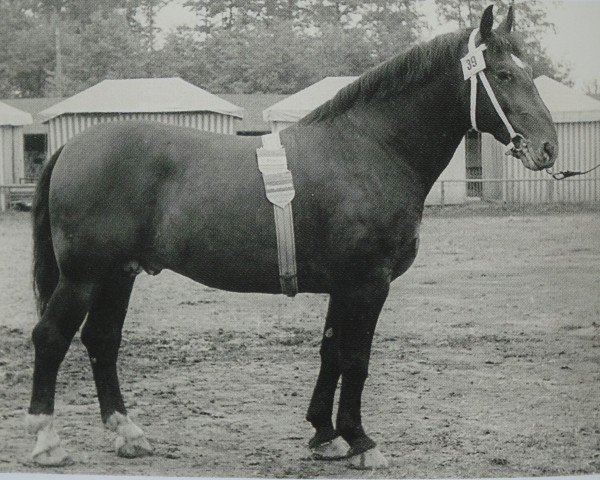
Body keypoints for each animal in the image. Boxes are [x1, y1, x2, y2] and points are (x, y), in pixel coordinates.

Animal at [24, 3, 556, 468]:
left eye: (528, 70)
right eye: (503, 74)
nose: (548, 148)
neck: (370, 148)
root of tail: (71, 146)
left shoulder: (344, 286)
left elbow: (331, 352)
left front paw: (325, 435)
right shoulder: (369, 282)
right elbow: (356, 358)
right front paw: (361, 442)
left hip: (119, 274)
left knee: (102, 340)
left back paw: (128, 433)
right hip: (85, 276)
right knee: (51, 337)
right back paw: (47, 442)